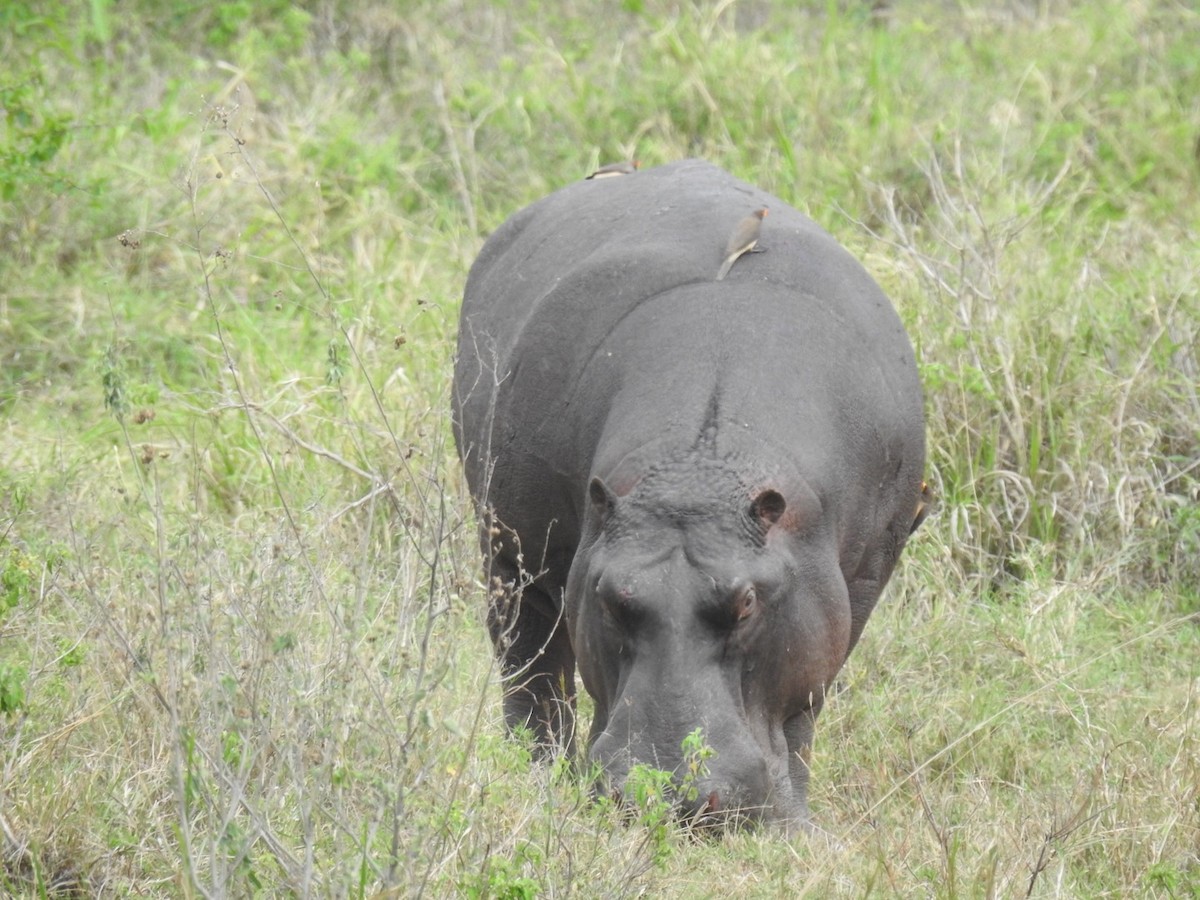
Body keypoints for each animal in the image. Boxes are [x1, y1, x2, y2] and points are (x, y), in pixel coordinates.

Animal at [452, 159, 926, 830]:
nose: (667, 794)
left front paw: (796, 829)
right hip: (510, 558)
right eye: (610, 596)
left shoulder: (853, 586)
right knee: (530, 668)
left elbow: (804, 708)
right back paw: (537, 778)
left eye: (748, 602)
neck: (699, 467)